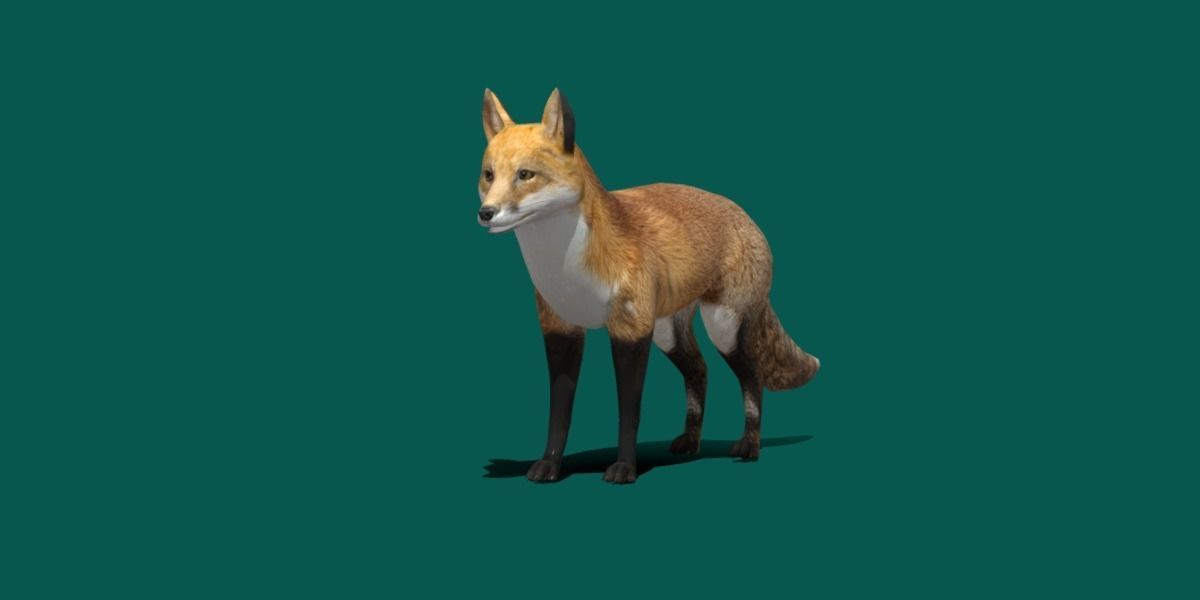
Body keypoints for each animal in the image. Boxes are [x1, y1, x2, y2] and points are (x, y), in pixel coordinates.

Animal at [478, 88, 820, 484]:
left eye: (525, 175)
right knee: (700, 371)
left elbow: (629, 412)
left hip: (723, 328)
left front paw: (625, 468)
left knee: (753, 379)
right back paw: (690, 441)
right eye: (488, 175)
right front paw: (549, 466)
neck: (567, 269)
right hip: (668, 333)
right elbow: (559, 415)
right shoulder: (561, 330)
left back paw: (749, 446)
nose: (486, 213)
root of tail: (745, 214)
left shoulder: (629, 332)